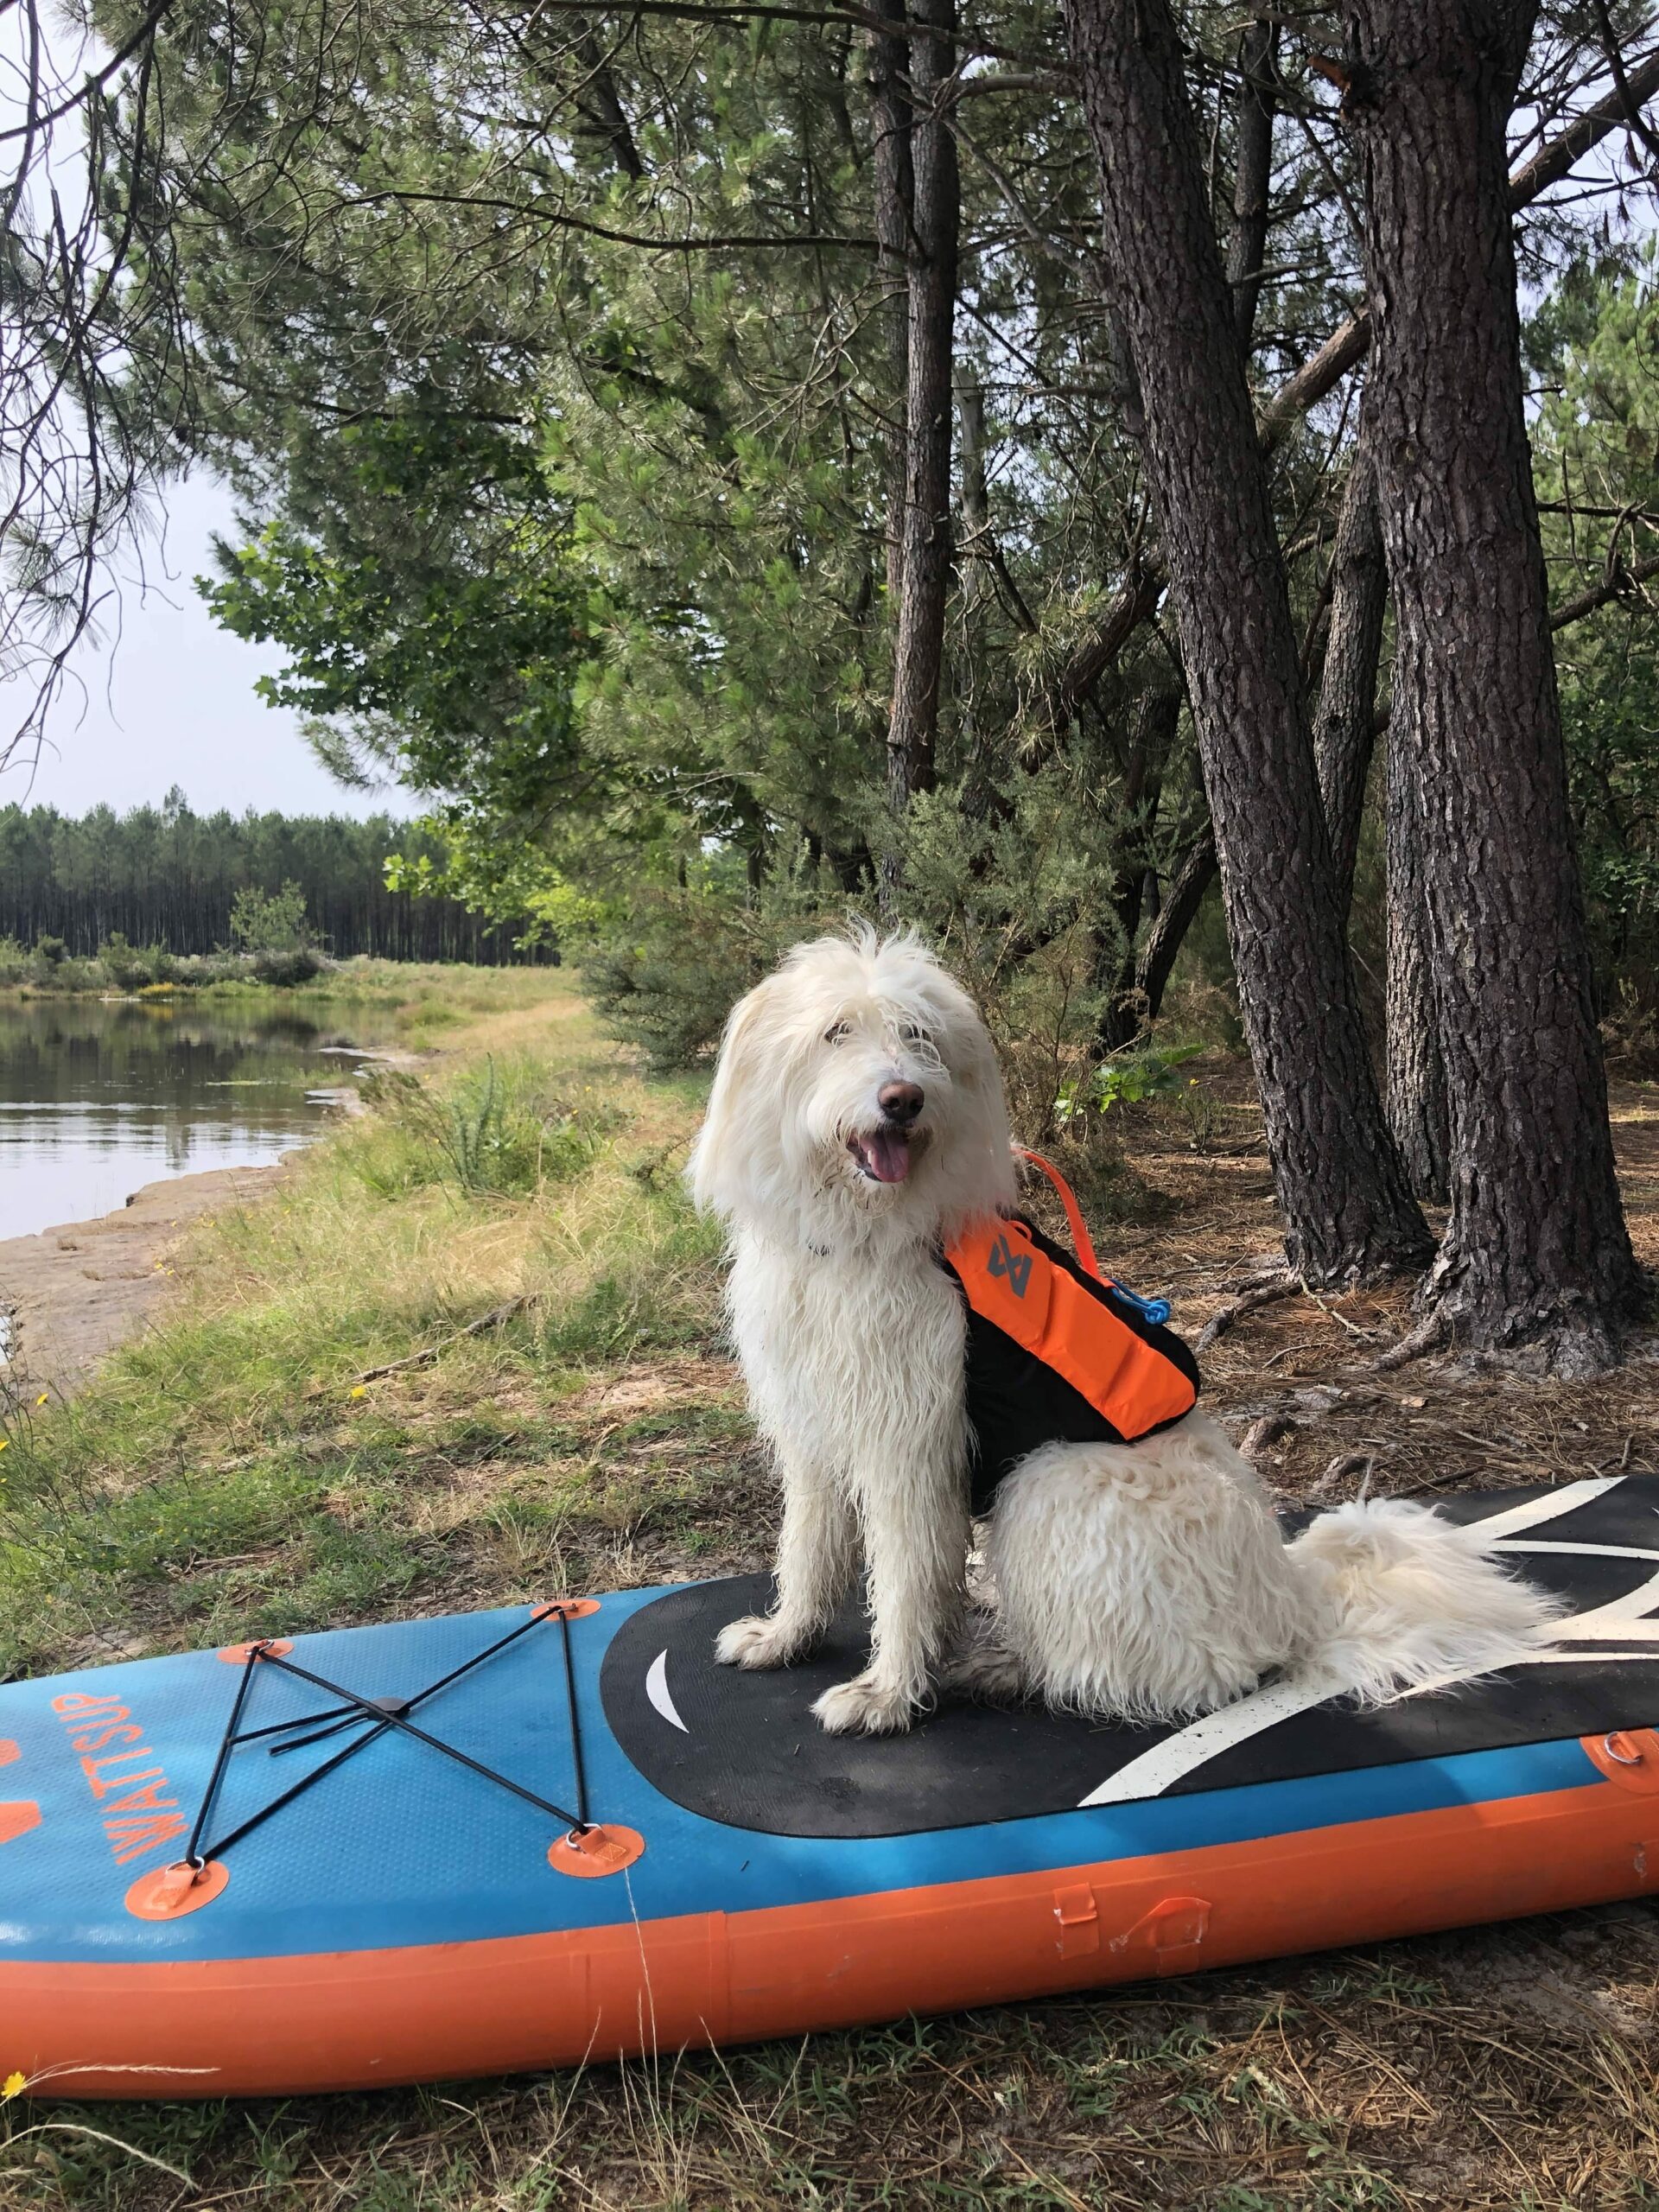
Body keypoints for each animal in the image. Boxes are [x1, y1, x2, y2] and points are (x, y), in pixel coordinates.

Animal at [690, 925, 1557, 1734]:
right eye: (836, 1031)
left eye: (919, 1035)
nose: (904, 1098)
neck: (860, 1235)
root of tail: (1292, 1602)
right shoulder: (813, 1428)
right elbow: (807, 1549)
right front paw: (786, 1637)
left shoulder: (910, 1448)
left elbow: (904, 1579)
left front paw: (887, 1693)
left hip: (1048, 1482)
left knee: (1139, 1669)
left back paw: (999, 1666)